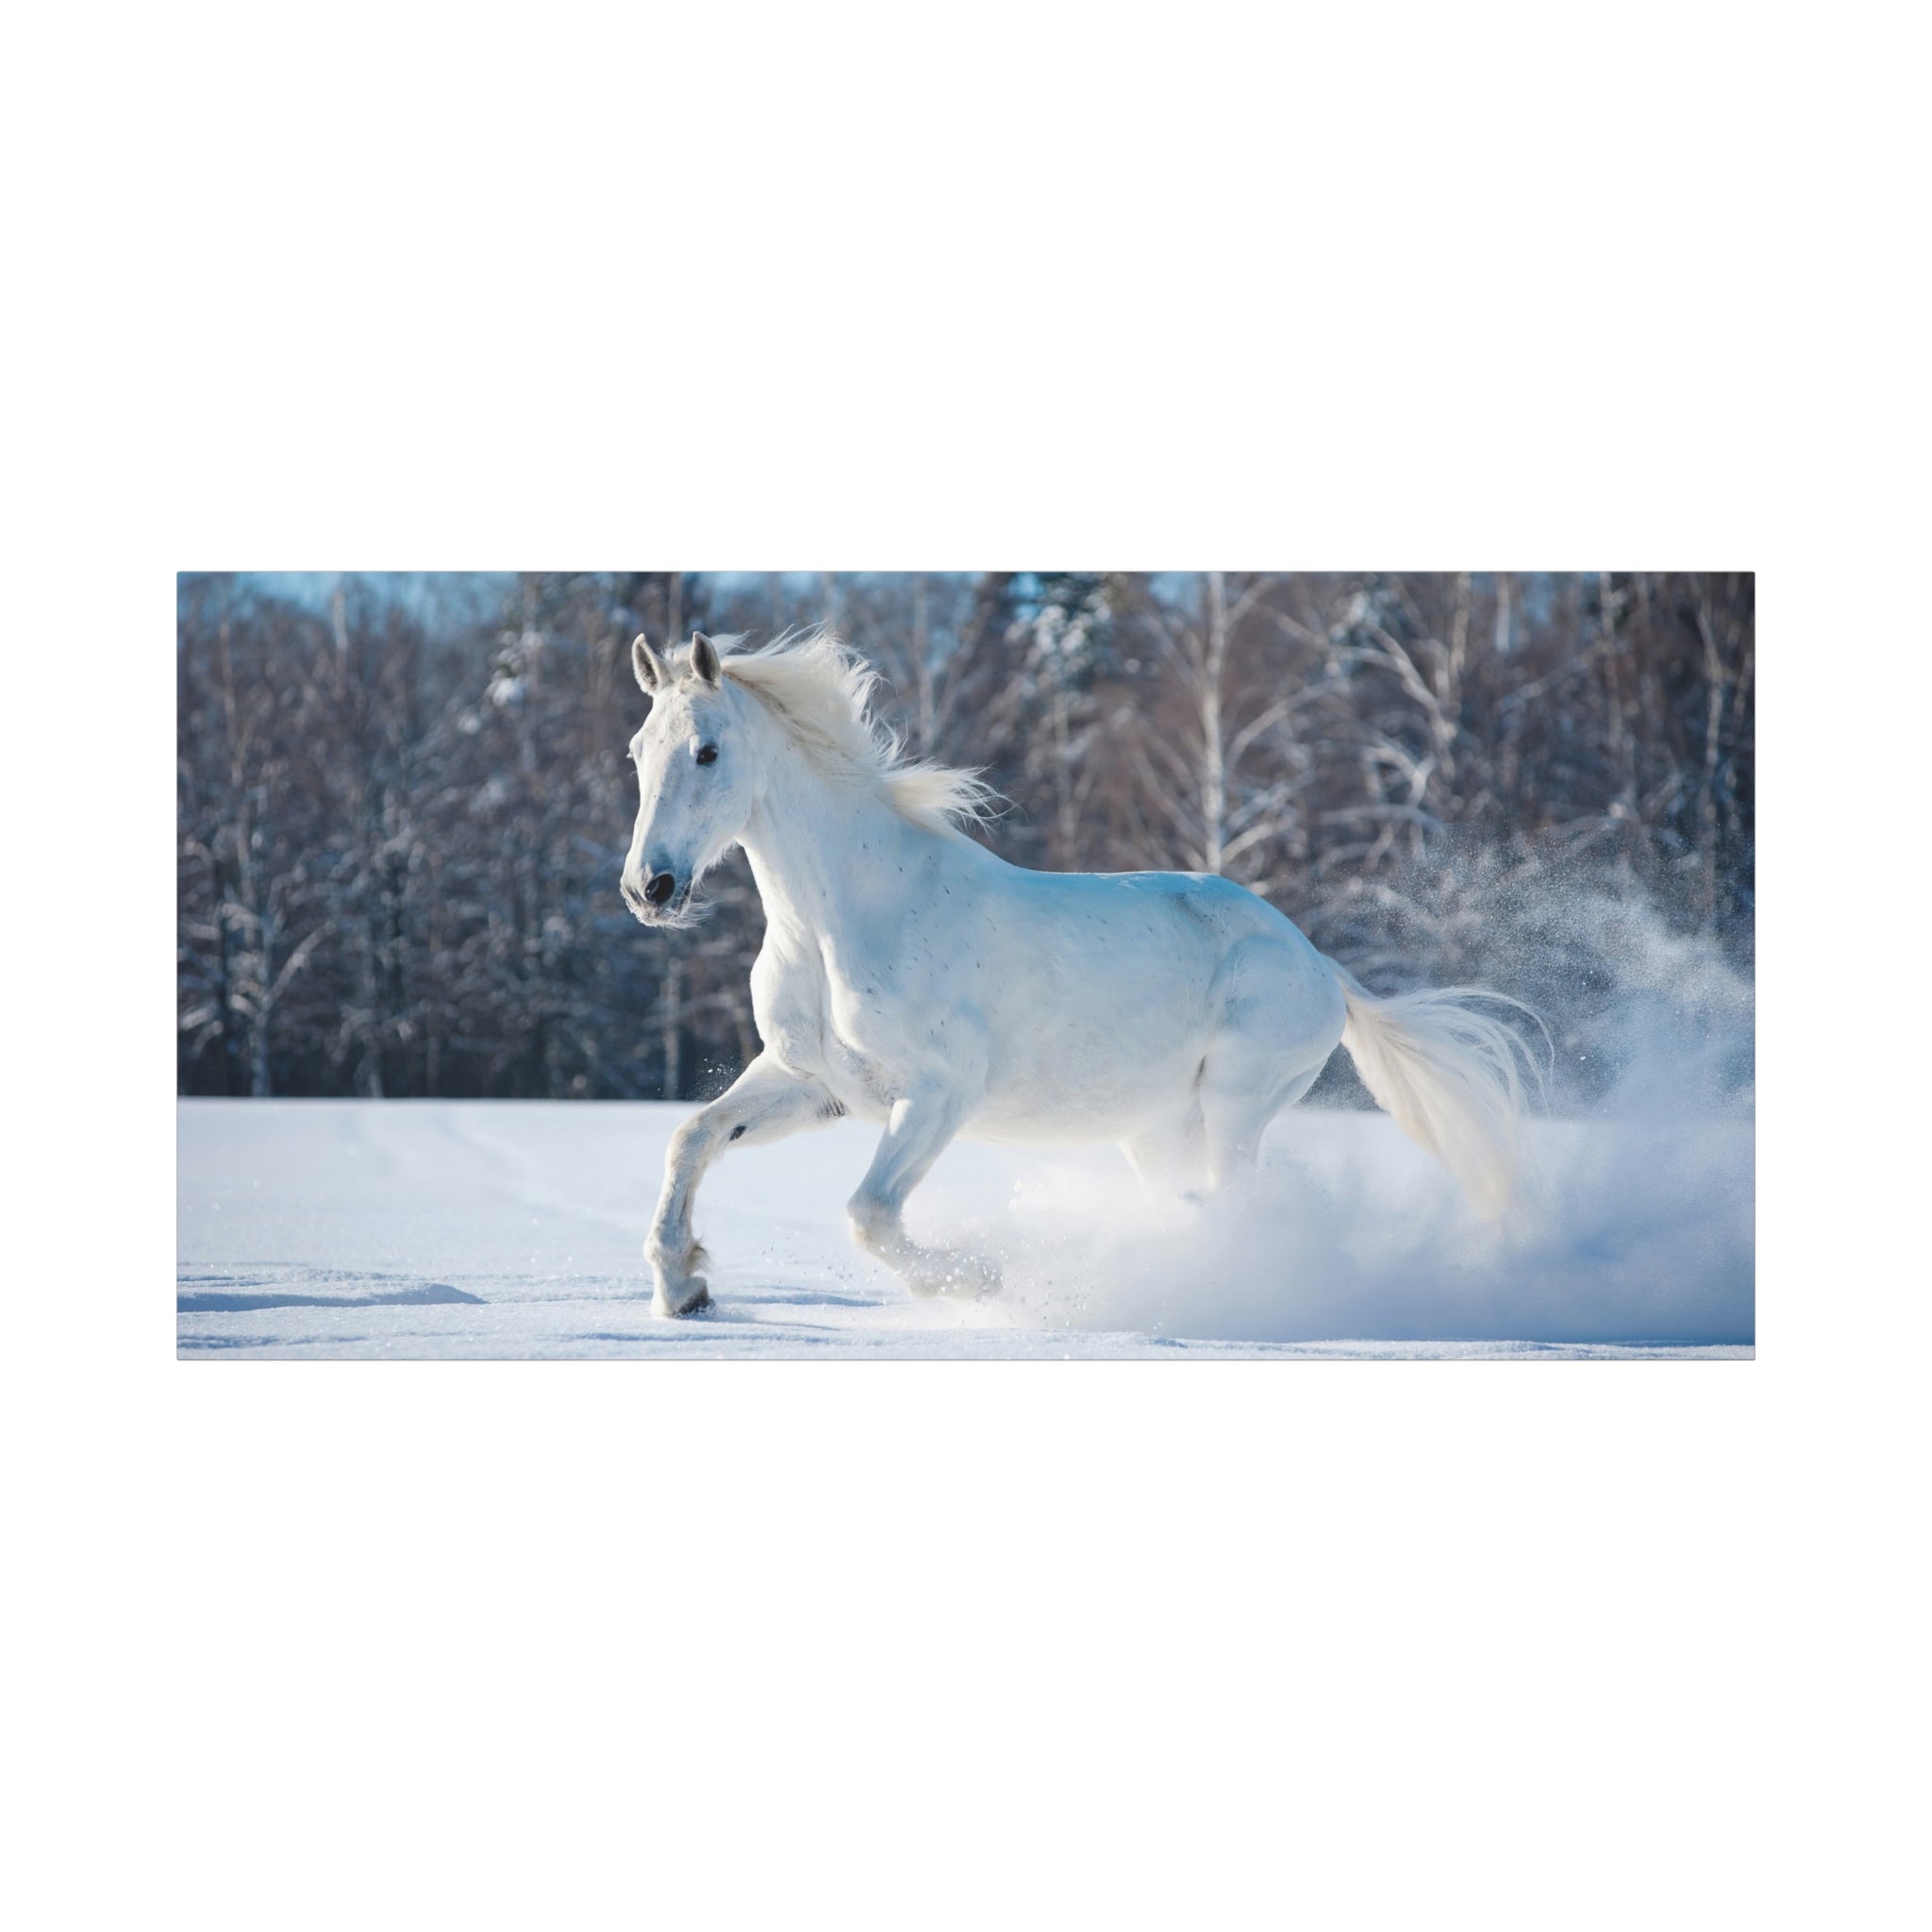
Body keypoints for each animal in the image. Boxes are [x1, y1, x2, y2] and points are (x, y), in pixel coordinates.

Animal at [621, 626, 1540, 1317]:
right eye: (636, 751)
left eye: (707, 751)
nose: (649, 888)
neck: (842, 920)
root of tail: (1319, 965)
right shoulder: (815, 1083)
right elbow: (691, 1138)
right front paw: (684, 1288)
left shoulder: (940, 1093)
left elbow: (869, 1215)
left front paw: (980, 1281)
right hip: (1156, 1130)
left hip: (1236, 1104)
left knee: (1235, 1206)